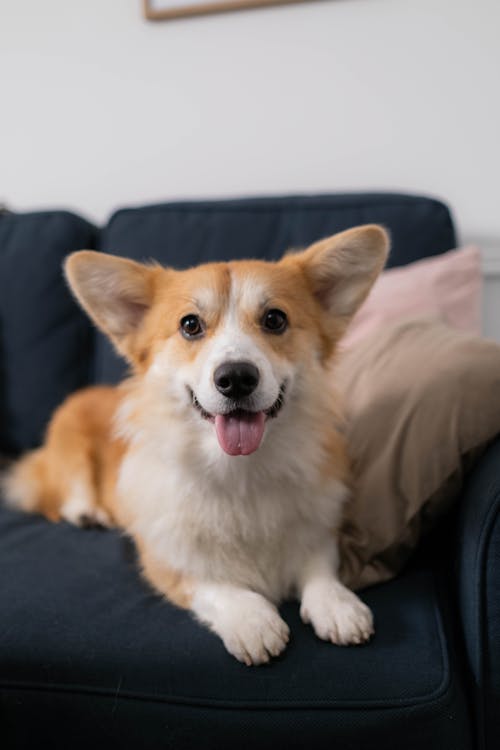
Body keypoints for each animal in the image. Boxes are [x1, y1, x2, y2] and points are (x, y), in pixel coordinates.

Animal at [3, 226, 388, 668]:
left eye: (275, 319)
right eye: (190, 325)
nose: (236, 378)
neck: (239, 471)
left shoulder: (318, 526)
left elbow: (320, 565)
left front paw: (338, 604)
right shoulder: (166, 558)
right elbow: (211, 582)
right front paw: (252, 621)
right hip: (69, 440)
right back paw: (87, 512)